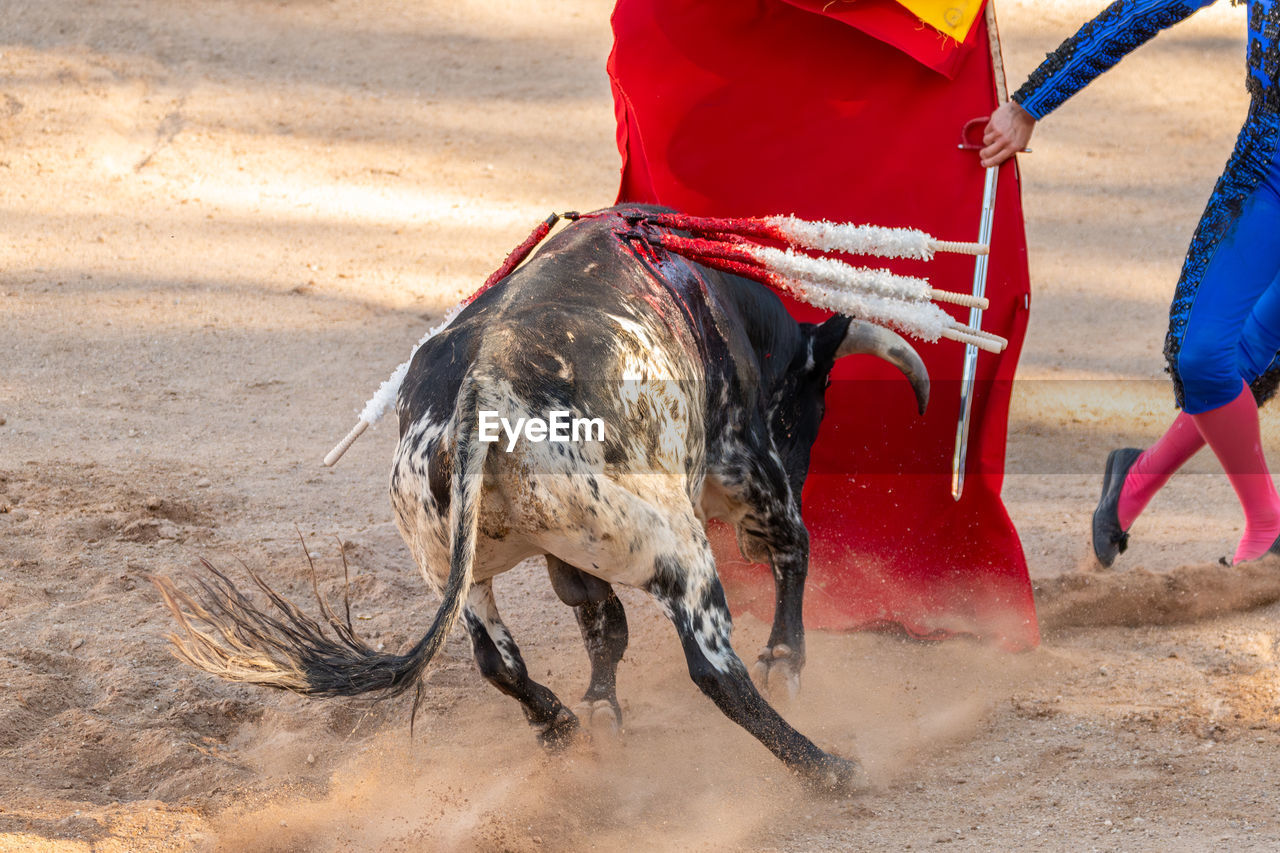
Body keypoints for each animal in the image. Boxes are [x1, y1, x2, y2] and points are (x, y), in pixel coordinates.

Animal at [154, 204, 926, 788]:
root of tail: (483, 395)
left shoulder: (571, 558)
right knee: (714, 666)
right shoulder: (747, 462)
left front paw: (600, 710)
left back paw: (561, 726)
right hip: (679, 547)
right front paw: (785, 659)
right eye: (809, 413)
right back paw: (827, 767)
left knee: (498, 657)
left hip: (457, 564)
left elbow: (601, 627)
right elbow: (793, 547)